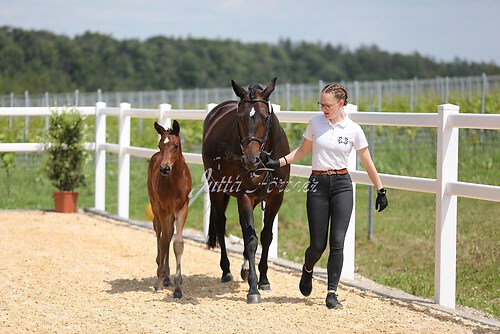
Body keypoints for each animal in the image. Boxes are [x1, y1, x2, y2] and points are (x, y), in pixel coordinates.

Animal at [147, 119, 192, 298]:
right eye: (160, 145)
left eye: (176, 146)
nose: (164, 169)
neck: (174, 181)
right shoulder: (163, 209)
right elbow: (164, 241)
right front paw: (159, 281)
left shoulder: (182, 209)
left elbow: (177, 243)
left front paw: (178, 288)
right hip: (156, 207)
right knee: (160, 233)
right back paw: (163, 274)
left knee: (169, 234)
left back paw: (167, 278)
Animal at [202, 77, 292, 302]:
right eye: (239, 118)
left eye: (265, 117)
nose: (251, 159)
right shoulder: (244, 196)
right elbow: (251, 239)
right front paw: (253, 288)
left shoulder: (275, 198)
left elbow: (266, 236)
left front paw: (264, 279)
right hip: (216, 189)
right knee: (221, 224)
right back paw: (226, 271)